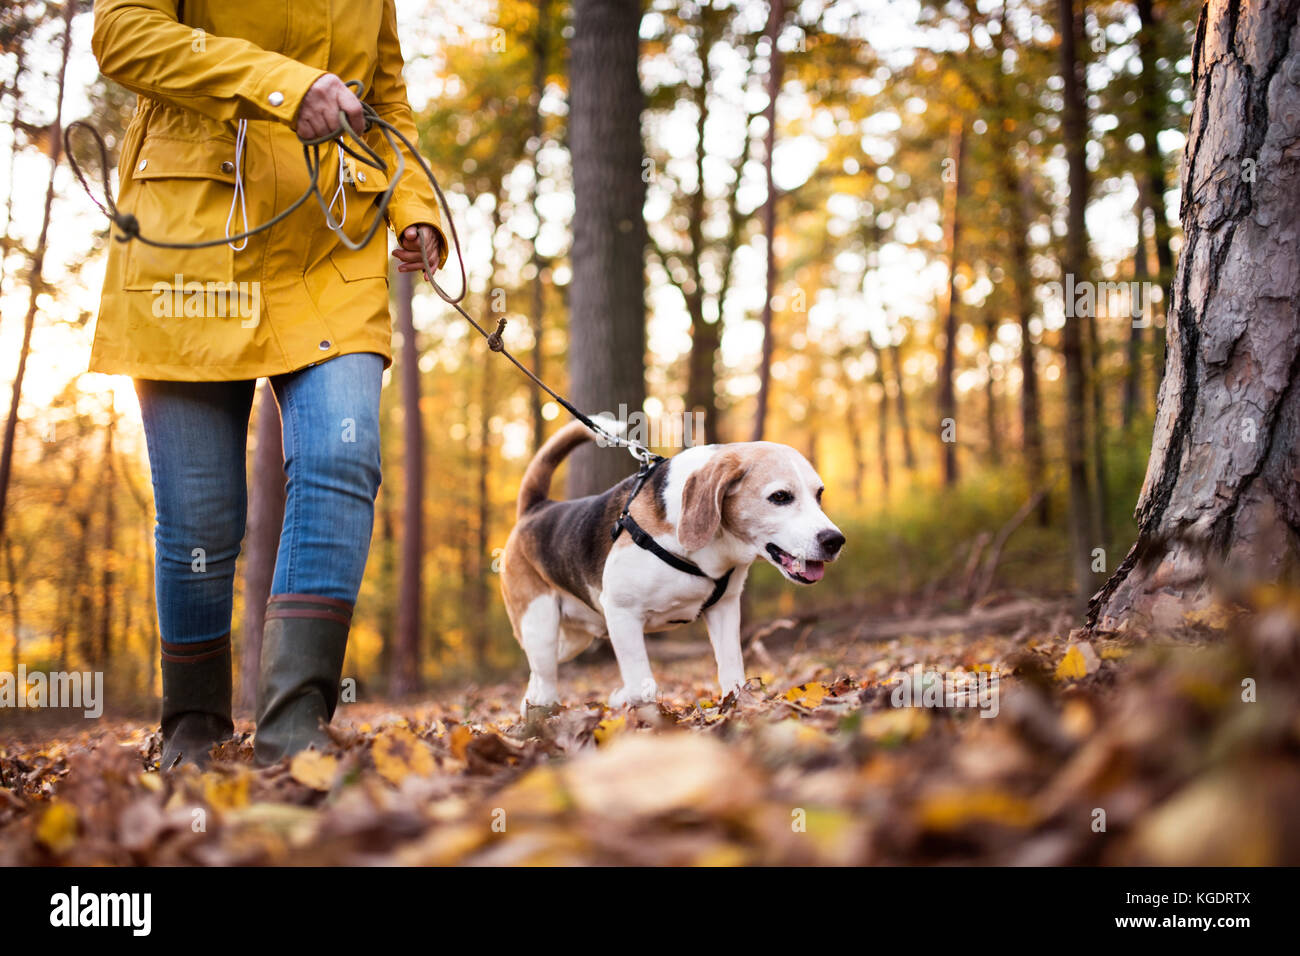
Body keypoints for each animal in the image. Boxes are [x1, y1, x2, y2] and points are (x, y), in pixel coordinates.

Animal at [496, 421, 842, 712]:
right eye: (780, 497)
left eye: (819, 494)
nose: (835, 540)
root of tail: (536, 508)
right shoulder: (622, 613)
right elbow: (640, 684)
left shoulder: (725, 609)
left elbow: (732, 670)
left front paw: (739, 706)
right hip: (540, 625)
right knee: (545, 677)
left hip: (572, 639)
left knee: (537, 677)